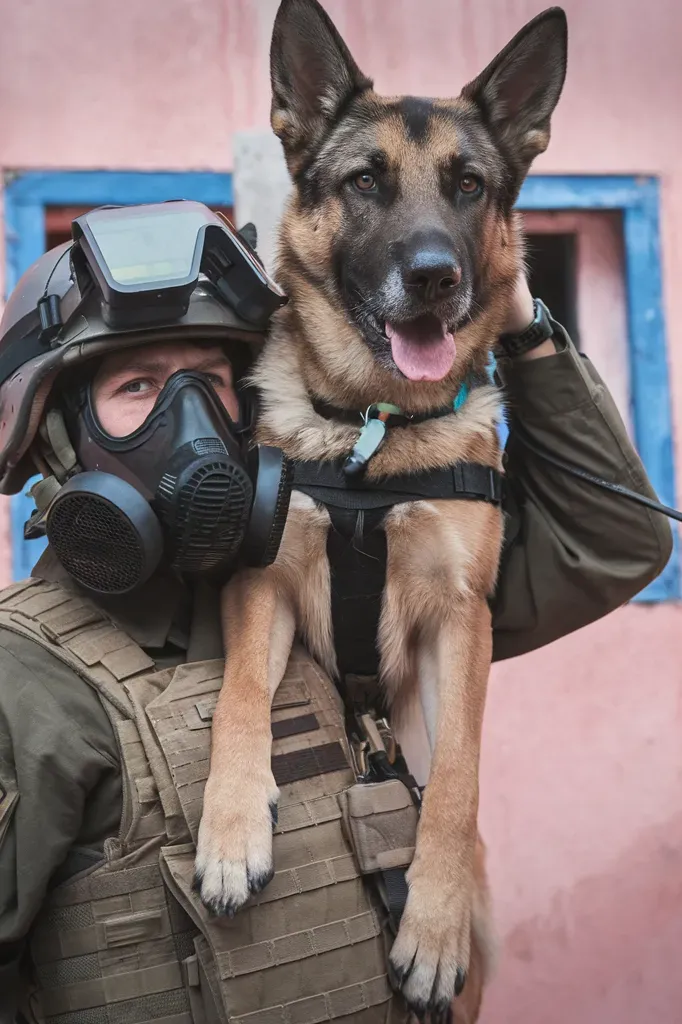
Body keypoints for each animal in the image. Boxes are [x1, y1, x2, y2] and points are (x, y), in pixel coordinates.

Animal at [195, 2, 561, 1015]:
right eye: (366, 182)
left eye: (470, 186)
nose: (435, 275)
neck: (373, 431)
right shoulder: (263, 588)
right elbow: (242, 697)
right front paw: (230, 830)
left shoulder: (461, 622)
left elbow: (457, 778)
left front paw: (429, 924)